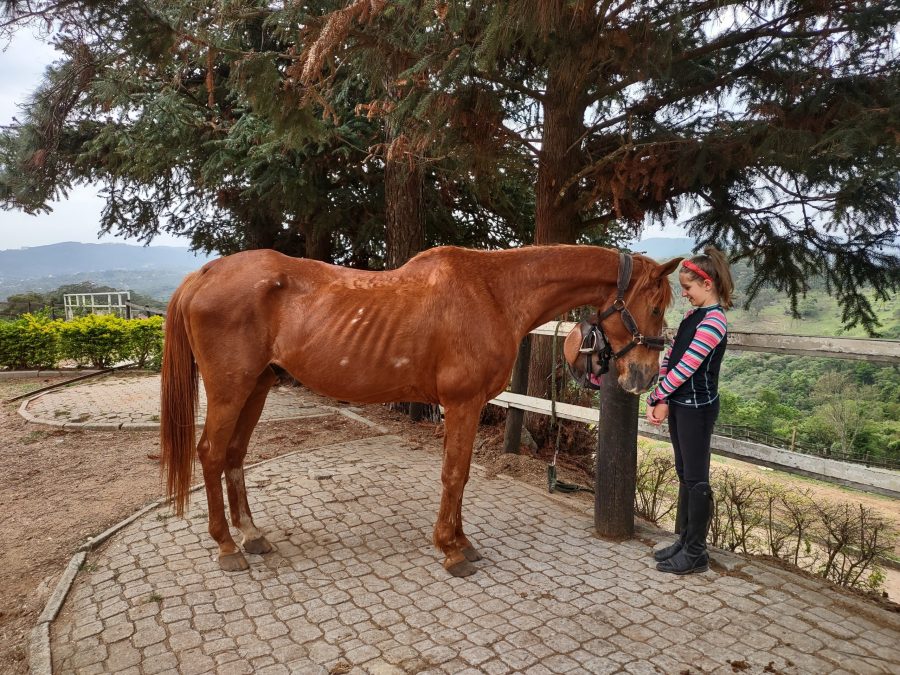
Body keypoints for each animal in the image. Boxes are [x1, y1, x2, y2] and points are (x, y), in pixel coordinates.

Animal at [160, 245, 682, 577]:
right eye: (656, 307)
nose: (643, 379)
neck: (494, 292)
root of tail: (205, 274)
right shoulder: (463, 404)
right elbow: (455, 474)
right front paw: (451, 550)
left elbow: (461, 475)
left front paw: (461, 542)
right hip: (230, 390)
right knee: (211, 453)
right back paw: (227, 547)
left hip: (258, 387)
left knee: (234, 456)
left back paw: (250, 535)